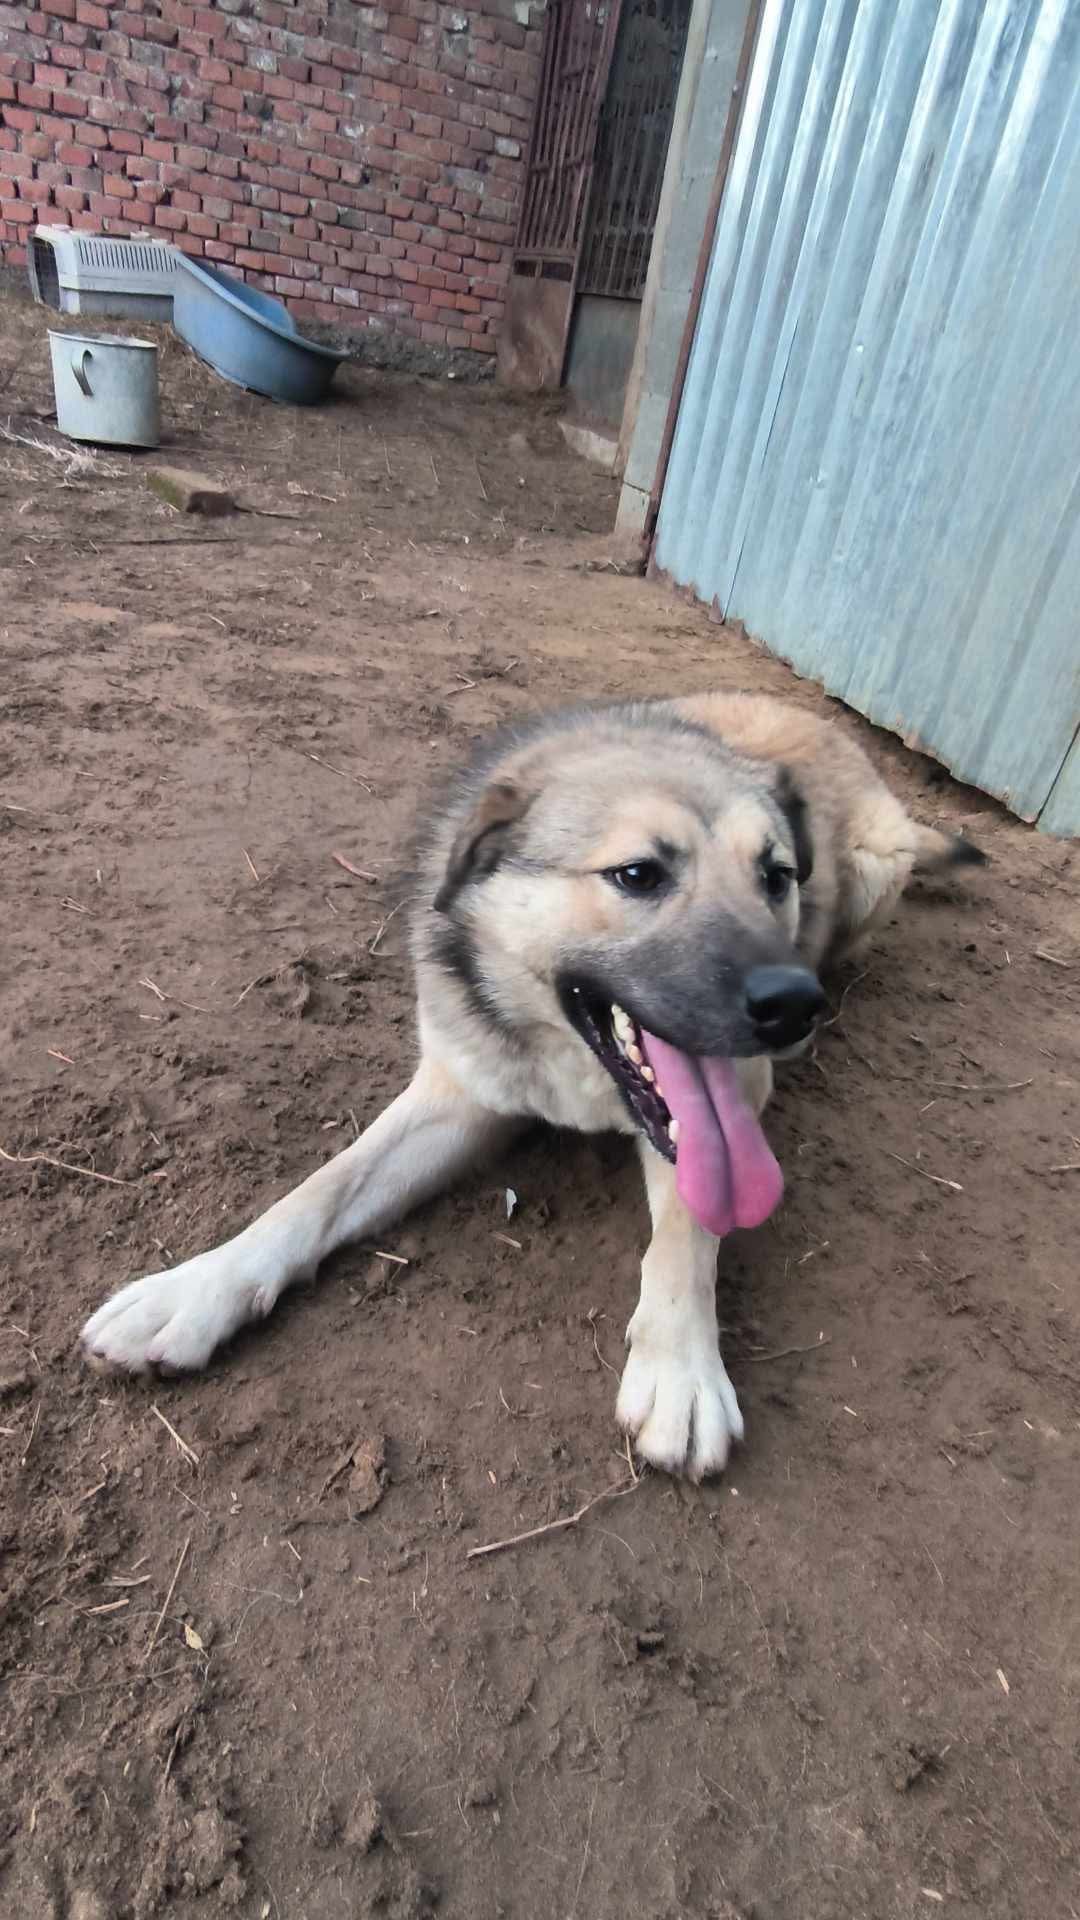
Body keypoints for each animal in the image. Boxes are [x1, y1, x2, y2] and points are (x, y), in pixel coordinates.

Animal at [81, 692, 984, 1478]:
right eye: (637, 875)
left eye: (777, 876)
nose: (795, 1004)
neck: (572, 1065)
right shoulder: (460, 1090)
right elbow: (316, 1193)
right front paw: (198, 1289)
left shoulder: (730, 1101)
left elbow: (689, 1226)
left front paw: (682, 1368)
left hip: (877, 869)